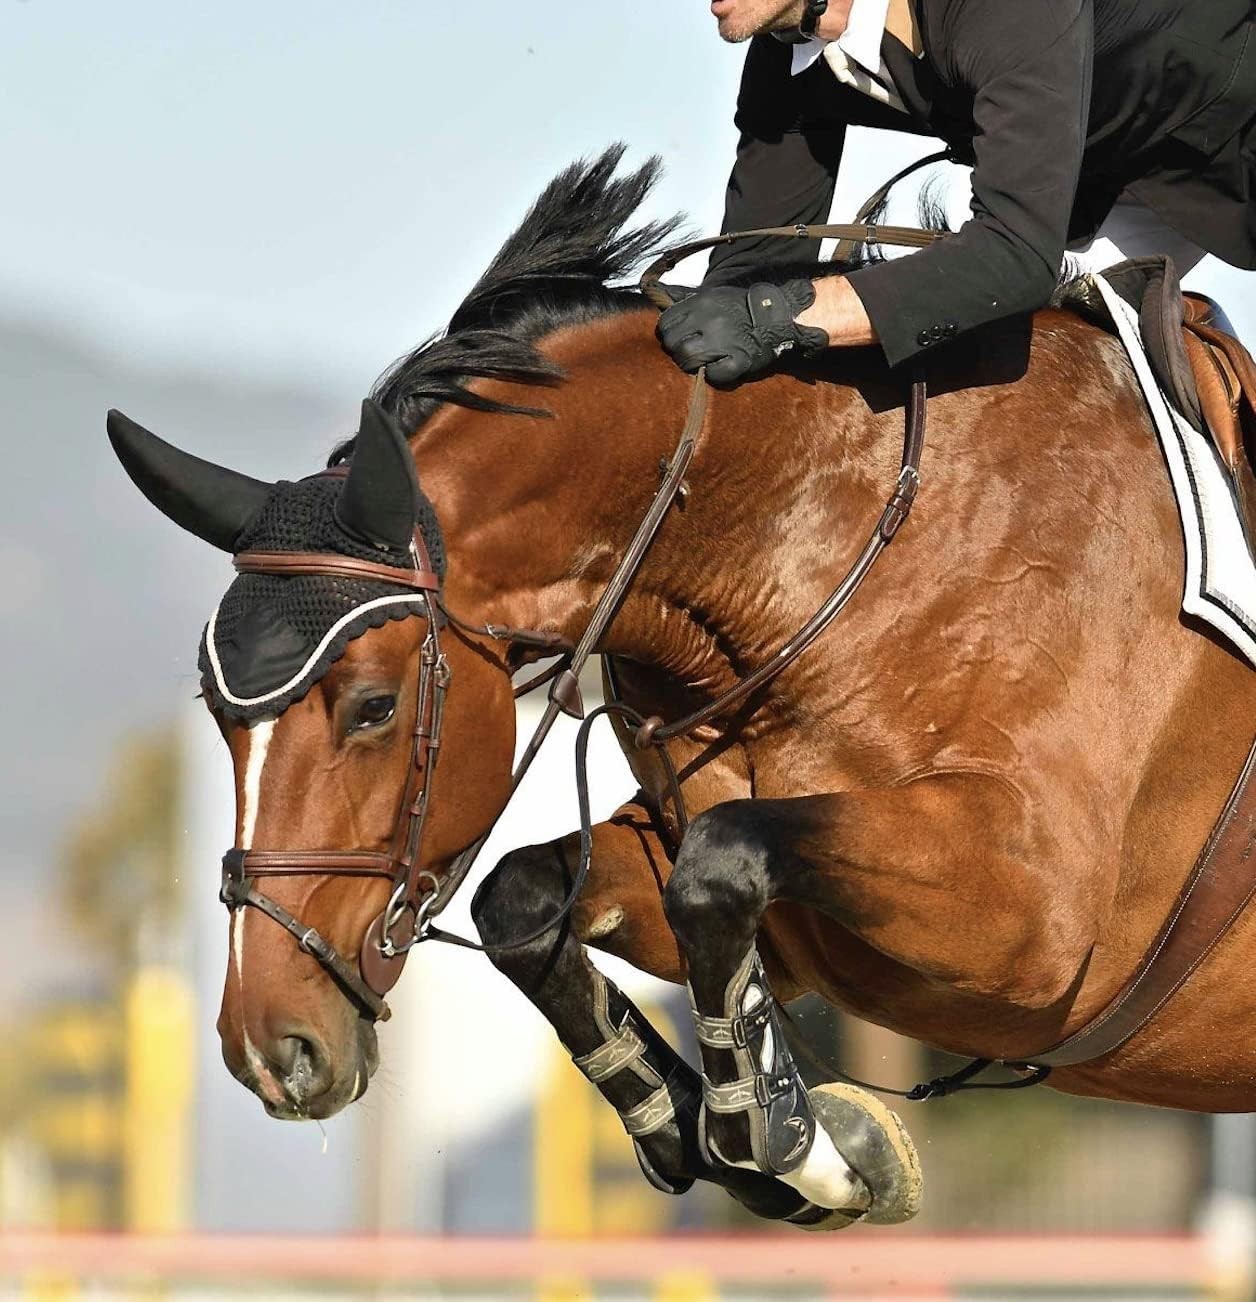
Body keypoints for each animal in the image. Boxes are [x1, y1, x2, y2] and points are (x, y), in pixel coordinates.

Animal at [107, 145, 1256, 1230]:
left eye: (374, 707)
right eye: (217, 717)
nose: (275, 1050)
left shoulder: (1037, 927)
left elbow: (720, 865)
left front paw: (789, 1140)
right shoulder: (773, 910)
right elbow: (532, 894)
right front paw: (732, 1133)